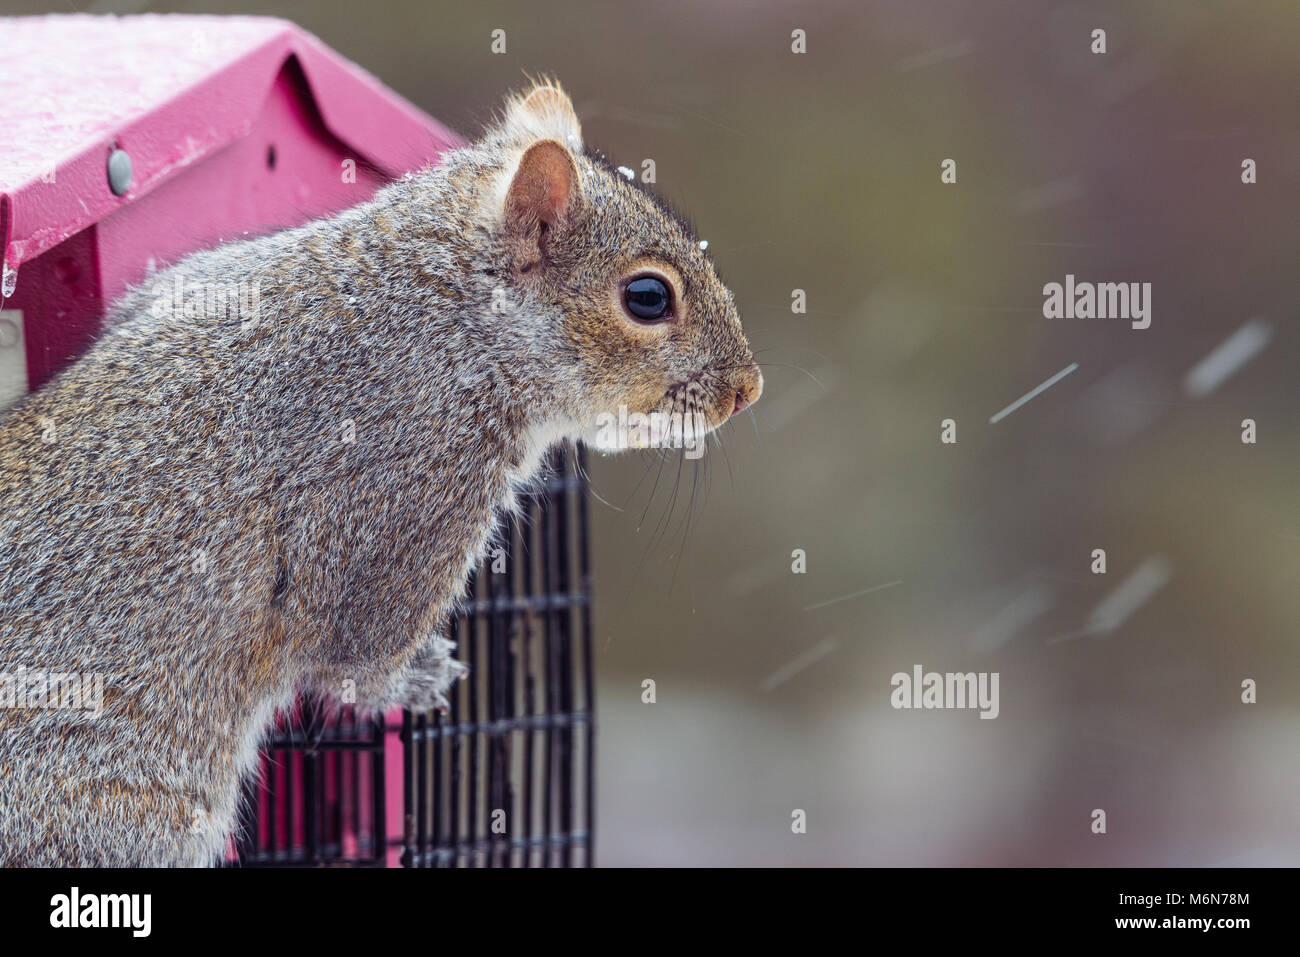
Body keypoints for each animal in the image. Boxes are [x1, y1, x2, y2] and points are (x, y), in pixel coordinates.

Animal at [0, 80, 761, 866]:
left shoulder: (195, 283)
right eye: (648, 297)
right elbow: (354, 650)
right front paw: (417, 677)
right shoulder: (401, 490)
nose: (748, 389)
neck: (447, 316)